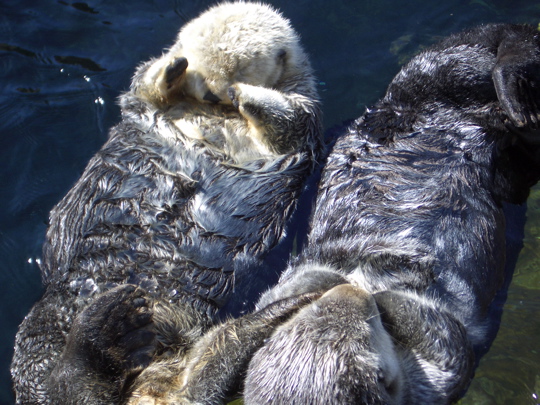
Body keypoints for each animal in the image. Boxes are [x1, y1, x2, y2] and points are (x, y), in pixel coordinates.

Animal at [10, 2, 322, 400]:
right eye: (197, 72)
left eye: (237, 72)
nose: (211, 94)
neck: (217, 114)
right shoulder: (146, 98)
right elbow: (146, 83)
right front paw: (173, 67)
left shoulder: (303, 111)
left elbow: (287, 118)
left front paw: (244, 91)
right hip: (49, 318)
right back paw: (110, 329)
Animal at [127, 23, 540, 402]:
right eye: (363, 333)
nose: (350, 291)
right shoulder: (437, 376)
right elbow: (442, 338)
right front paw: (369, 292)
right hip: (452, 86)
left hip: (431, 77)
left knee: (491, 49)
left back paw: (512, 94)